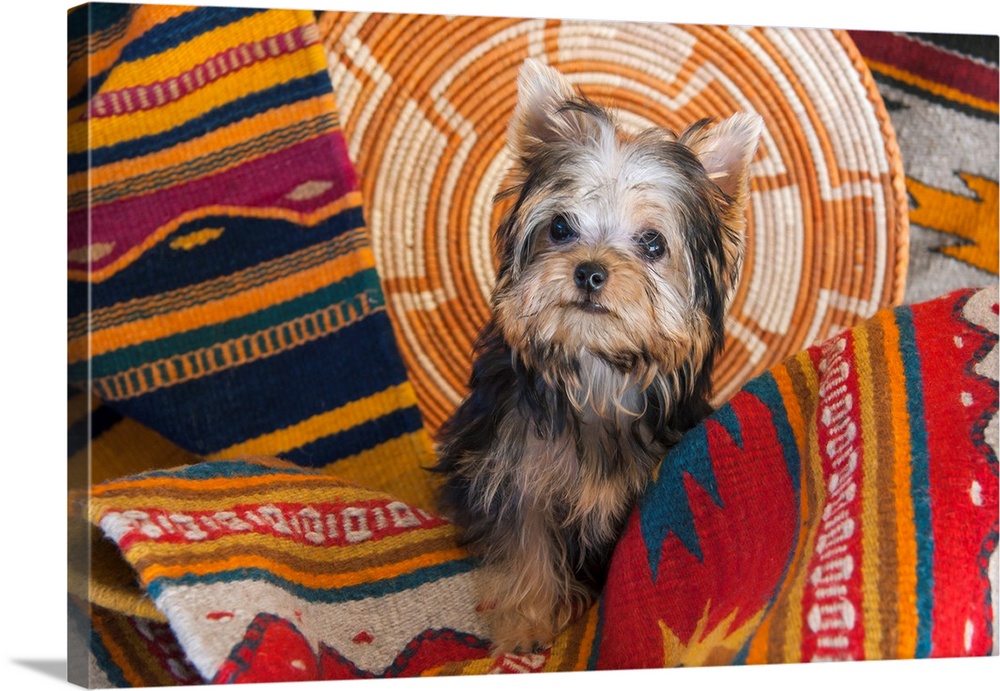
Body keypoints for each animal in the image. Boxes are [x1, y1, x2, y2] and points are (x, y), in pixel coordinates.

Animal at [434, 59, 760, 656]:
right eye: (560, 228)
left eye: (653, 243)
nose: (589, 271)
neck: (597, 370)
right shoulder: (515, 467)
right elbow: (526, 543)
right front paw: (527, 624)